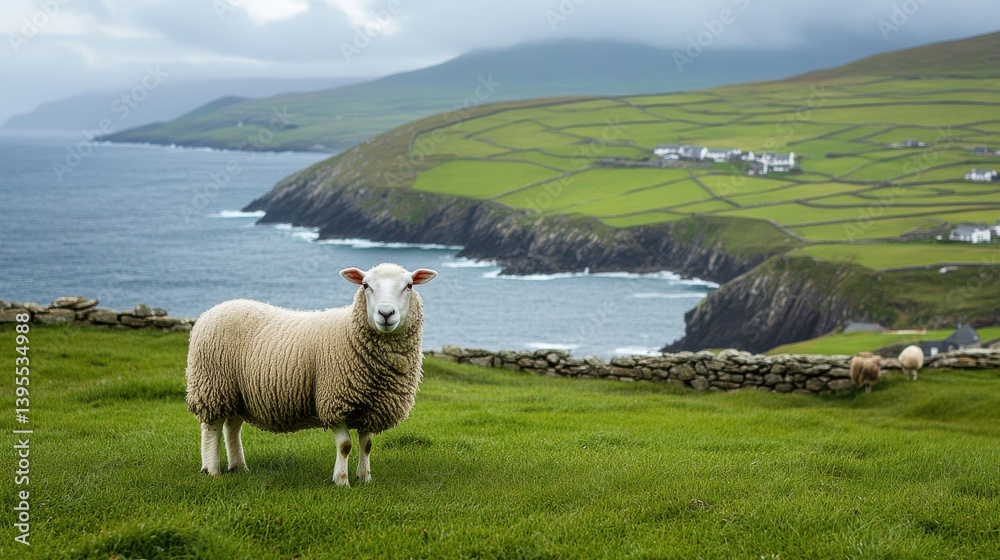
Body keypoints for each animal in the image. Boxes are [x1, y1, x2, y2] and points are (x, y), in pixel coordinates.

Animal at [185, 262, 437, 486]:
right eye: (365, 285)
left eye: (409, 285)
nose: (386, 313)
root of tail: (213, 310)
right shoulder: (334, 400)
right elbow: (345, 445)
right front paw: (341, 481)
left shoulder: (372, 405)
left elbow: (366, 445)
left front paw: (365, 479)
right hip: (213, 384)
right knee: (212, 428)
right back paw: (212, 470)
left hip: (237, 391)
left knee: (232, 426)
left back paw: (238, 467)